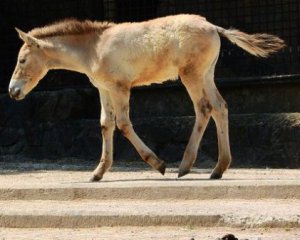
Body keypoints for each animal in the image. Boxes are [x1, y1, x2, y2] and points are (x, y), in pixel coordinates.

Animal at [8, 14, 286, 180]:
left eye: (22, 60)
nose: (13, 91)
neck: (93, 49)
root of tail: (212, 26)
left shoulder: (120, 88)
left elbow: (122, 124)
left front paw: (158, 163)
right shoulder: (104, 89)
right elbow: (105, 125)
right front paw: (98, 172)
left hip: (191, 75)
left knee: (204, 108)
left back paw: (184, 167)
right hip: (206, 74)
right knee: (220, 107)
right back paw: (218, 169)